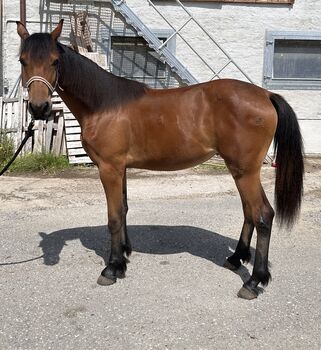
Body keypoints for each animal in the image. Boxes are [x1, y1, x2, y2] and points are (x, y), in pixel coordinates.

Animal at [17, 18, 302, 298]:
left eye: (55, 61)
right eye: (22, 60)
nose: (39, 108)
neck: (103, 103)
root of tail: (265, 95)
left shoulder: (109, 168)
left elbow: (113, 216)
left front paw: (112, 268)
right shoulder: (120, 168)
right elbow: (123, 209)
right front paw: (124, 256)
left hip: (245, 171)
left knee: (262, 215)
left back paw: (253, 282)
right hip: (241, 170)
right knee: (249, 212)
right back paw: (236, 259)